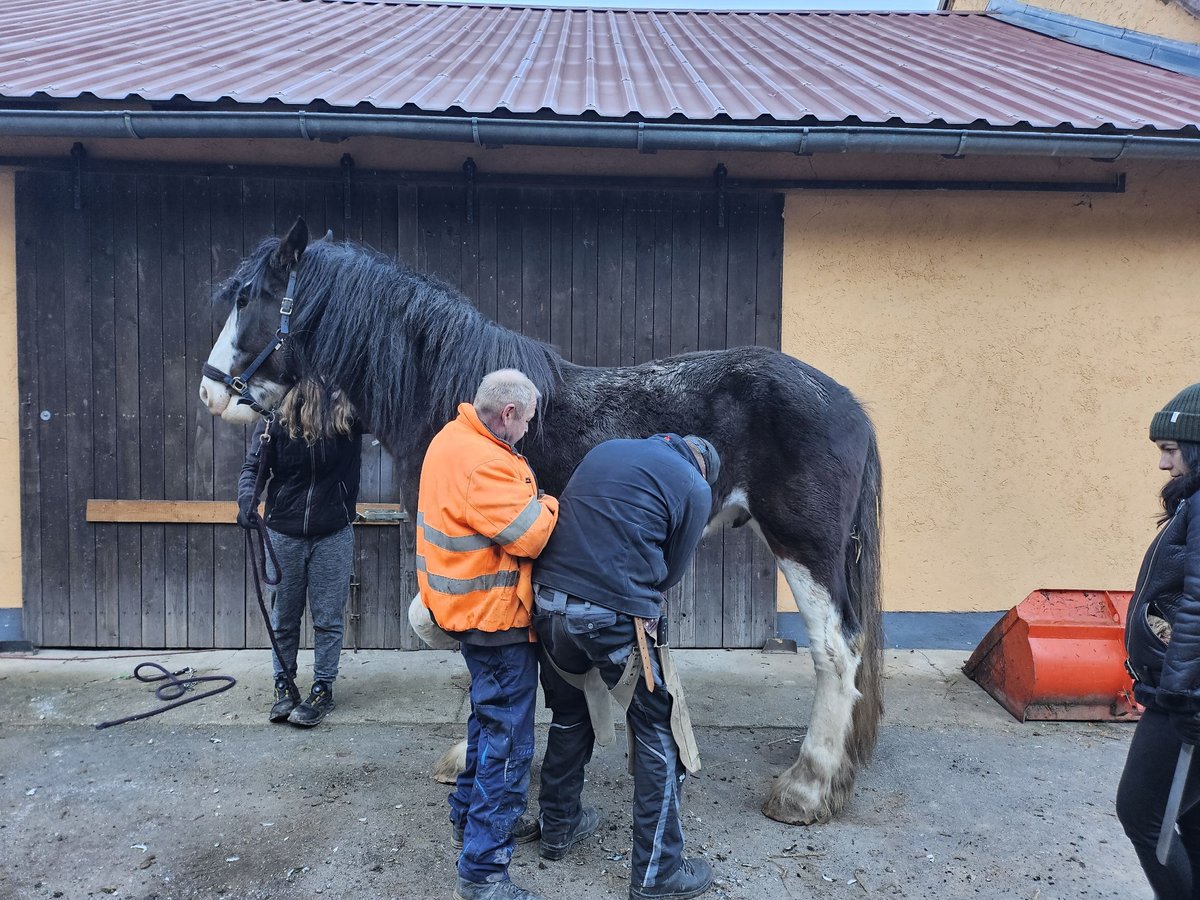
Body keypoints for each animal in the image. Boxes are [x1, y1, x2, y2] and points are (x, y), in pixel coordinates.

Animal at [199, 217, 883, 825]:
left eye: (248, 297)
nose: (209, 390)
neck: (455, 403)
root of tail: (847, 403)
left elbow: (449, 627)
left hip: (803, 546)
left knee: (836, 649)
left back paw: (808, 786)